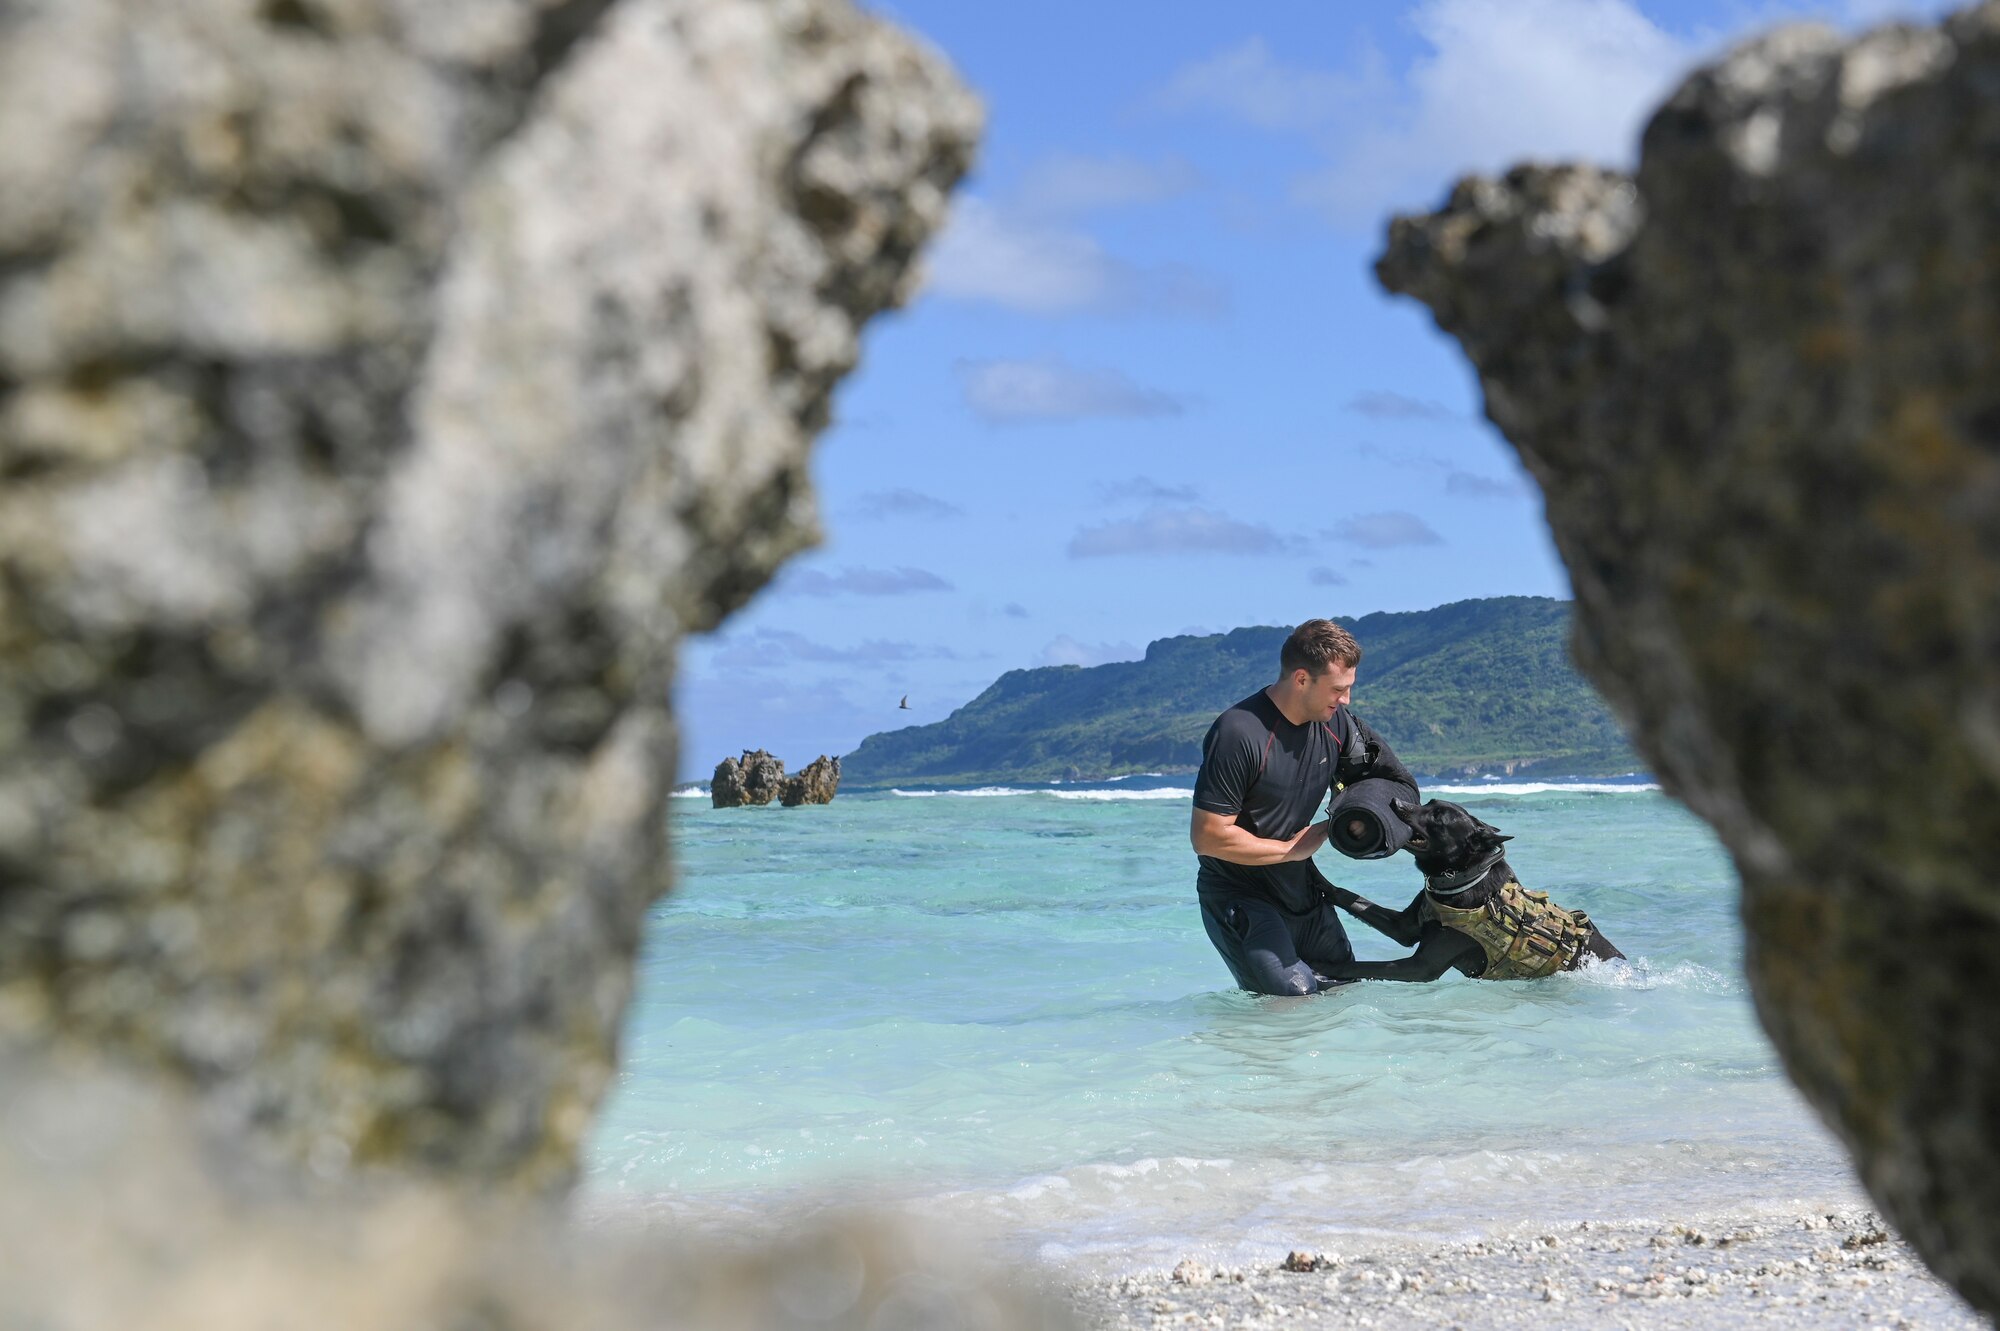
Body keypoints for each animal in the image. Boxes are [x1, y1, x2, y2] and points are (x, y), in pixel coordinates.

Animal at [1312, 791, 1624, 979]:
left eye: (1438, 818)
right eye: (1428, 802)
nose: (1395, 803)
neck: (1460, 877)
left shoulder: (1420, 967)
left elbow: (1362, 965)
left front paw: (1322, 966)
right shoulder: (1405, 927)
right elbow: (1353, 898)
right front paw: (1314, 874)